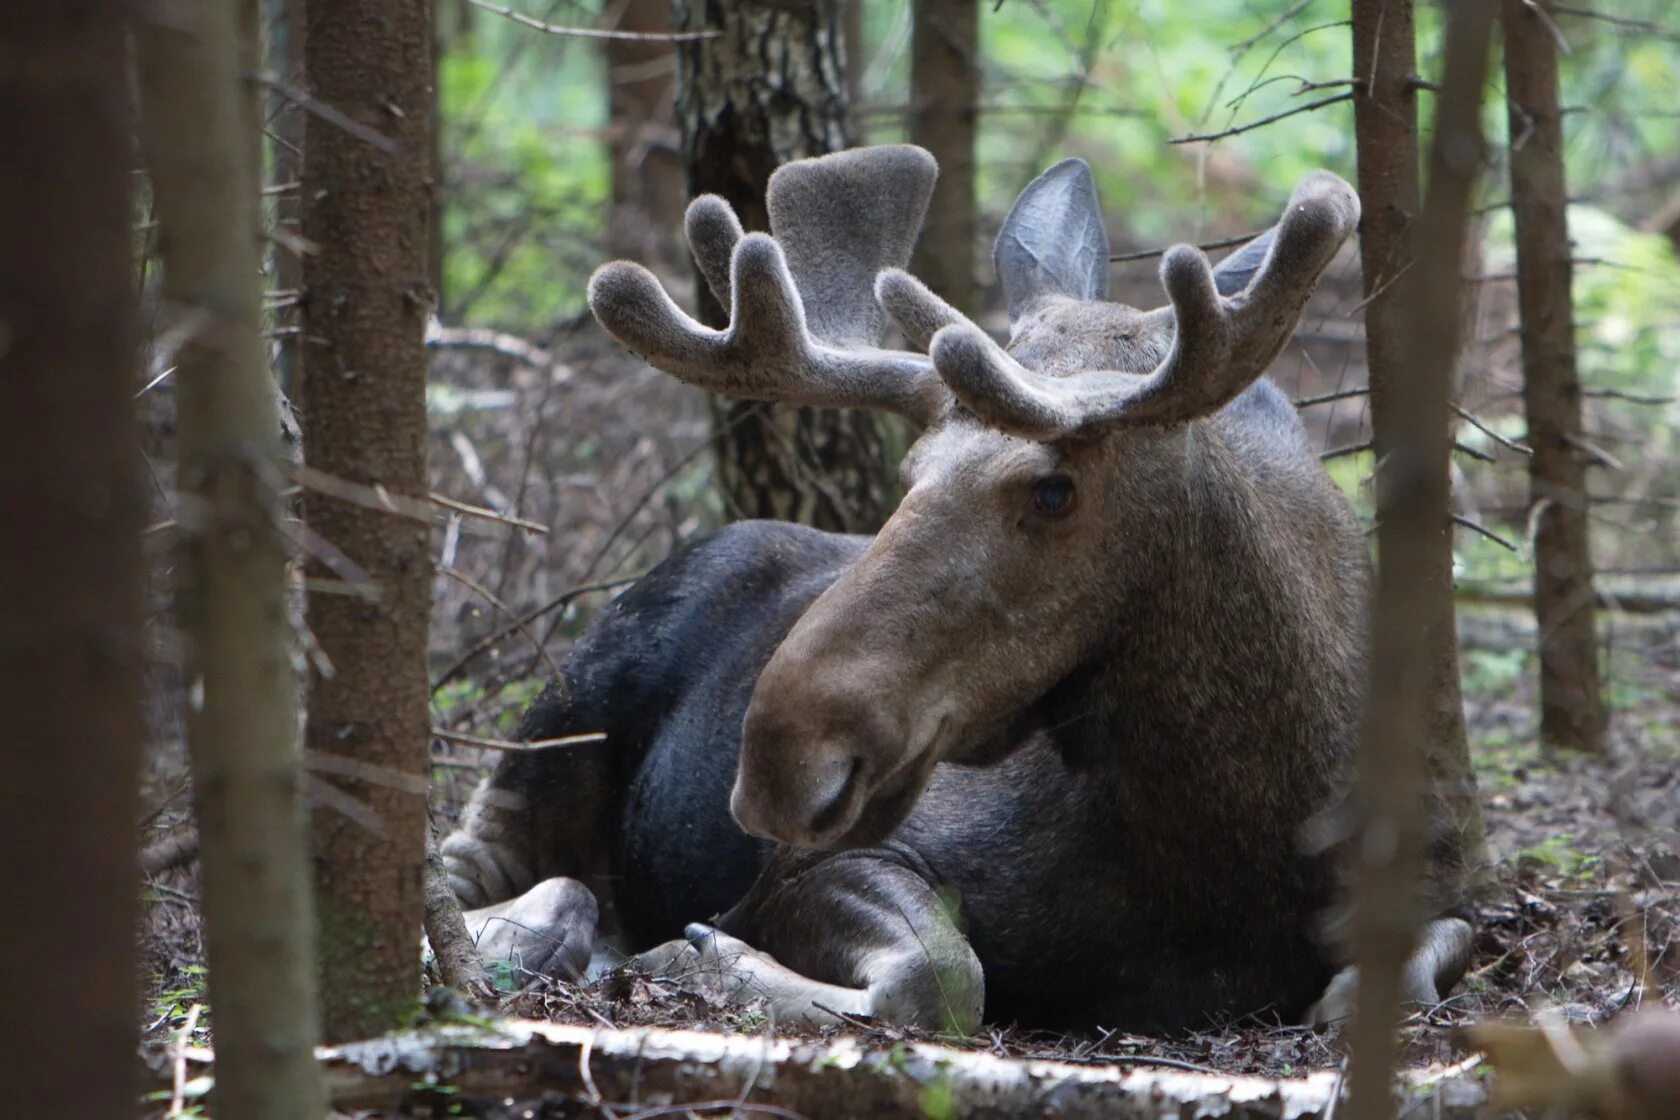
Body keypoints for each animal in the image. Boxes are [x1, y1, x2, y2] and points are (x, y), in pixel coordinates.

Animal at [443, 146, 1471, 1034]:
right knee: (473, 870)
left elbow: (1390, 984)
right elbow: (942, 976)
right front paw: (698, 955)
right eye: (912, 470)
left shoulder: (1451, 888)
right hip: (565, 714)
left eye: (1054, 488)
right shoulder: (823, 863)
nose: (780, 758)